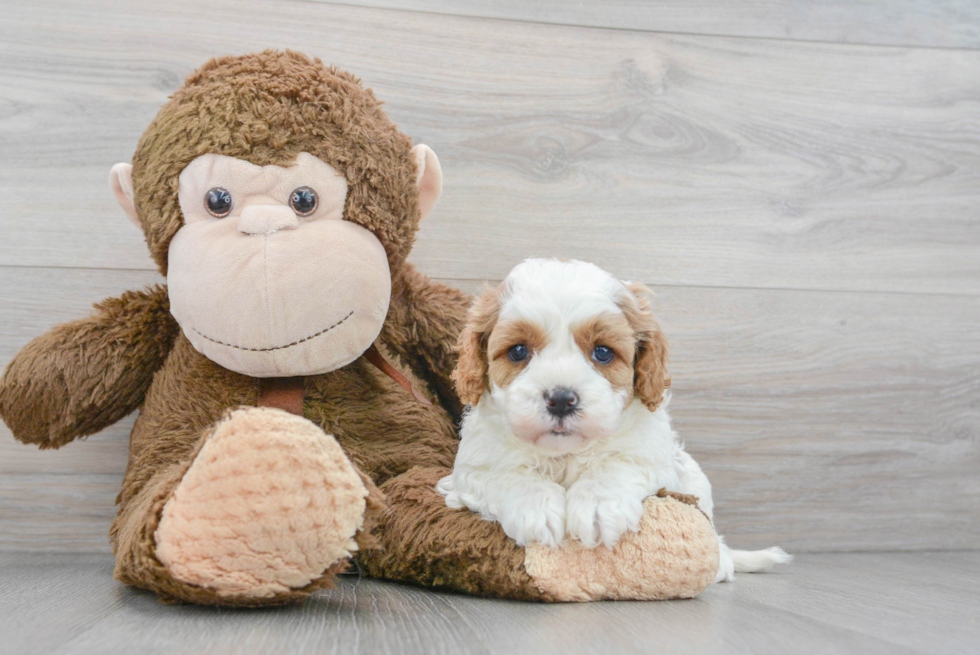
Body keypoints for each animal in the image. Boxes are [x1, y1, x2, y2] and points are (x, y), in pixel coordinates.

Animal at [440, 258, 792, 580]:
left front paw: (597, 505)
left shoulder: (651, 457)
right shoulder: (475, 468)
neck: (565, 453)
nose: (561, 400)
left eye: (603, 353)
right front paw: (535, 508)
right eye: (517, 351)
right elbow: (507, 475)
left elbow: (618, 465)